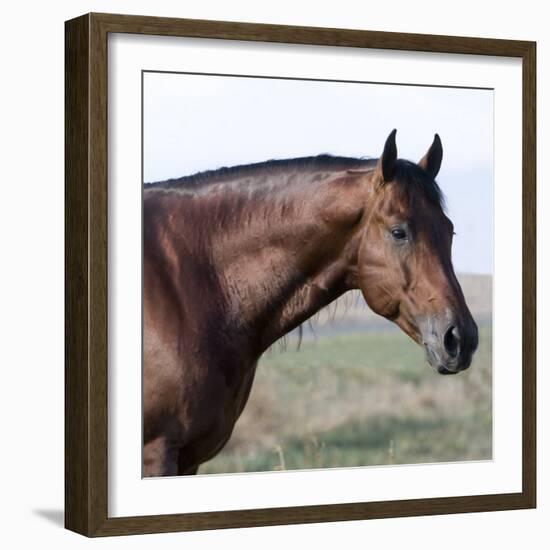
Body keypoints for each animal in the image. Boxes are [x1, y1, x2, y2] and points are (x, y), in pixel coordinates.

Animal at [142, 132, 478, 476]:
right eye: (399, 232)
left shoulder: (190, 460)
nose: (460, 338)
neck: (191, 282)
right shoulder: (157, 451)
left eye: (449, 230)